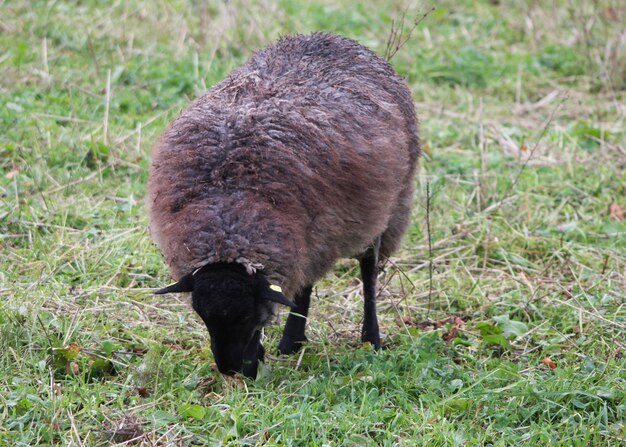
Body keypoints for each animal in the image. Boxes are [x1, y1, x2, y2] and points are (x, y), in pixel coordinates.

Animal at [148, 33, 416, 380]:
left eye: (245, 316)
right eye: (201, 315)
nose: (230, 368)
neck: (228, 209)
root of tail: (327, 37)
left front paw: (256, 358)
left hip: (388, 211)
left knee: (367, 272)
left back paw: (368, 338)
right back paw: (293, 342)